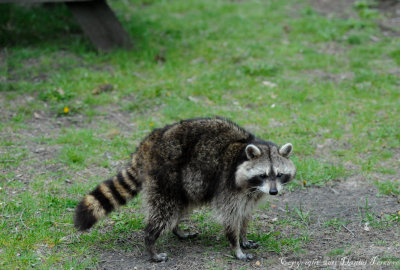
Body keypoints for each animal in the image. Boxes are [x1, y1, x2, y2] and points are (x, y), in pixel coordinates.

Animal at [73, 116, 296, 262]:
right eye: (263, 175)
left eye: (279, 174)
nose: (274, 192)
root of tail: (149, 142)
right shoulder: (228, 185)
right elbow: (230, 217)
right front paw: (236, 246)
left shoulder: (252, 194)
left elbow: (245, 215)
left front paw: (244, 236)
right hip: (165, 175)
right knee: (164, 210)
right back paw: (151, 242)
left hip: (185, 184)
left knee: (181, 205)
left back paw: (176, 229)